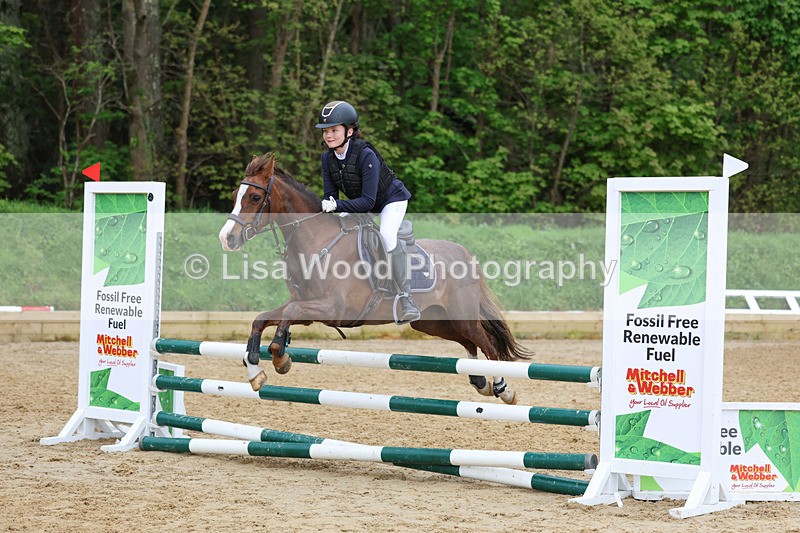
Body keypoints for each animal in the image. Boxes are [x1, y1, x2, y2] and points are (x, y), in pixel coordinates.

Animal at [218, 152, 532, 404]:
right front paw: (255, 371)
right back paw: (479, 381)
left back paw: (503, 388)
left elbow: (287, 315)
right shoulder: (309, 308)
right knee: (470, 343)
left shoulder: (332, 308)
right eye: (235, 194)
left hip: (459, 316)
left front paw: (281, 357)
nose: (226, 238)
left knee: (487, 344)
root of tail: (465, 253)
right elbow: (262, 318)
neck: (317, 241)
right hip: (434, 322)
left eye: (255, 197)